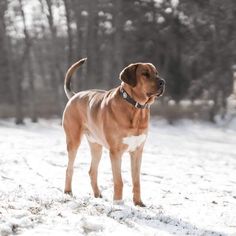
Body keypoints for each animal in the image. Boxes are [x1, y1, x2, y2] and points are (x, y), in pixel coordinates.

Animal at [63, 58, 166, 206]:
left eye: (156, 73)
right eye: (145, 74)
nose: (163, 82)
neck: (135, 108)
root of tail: (75, 95)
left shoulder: (137, 151)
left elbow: (137, 181)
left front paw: (138, 203)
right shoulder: (116, 152)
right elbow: (119, 181)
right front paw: (118, 203)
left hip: (96, 146)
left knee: (92, 171)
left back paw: (97, 194)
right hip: (73, 141)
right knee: (69, 168)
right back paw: (68, 191)